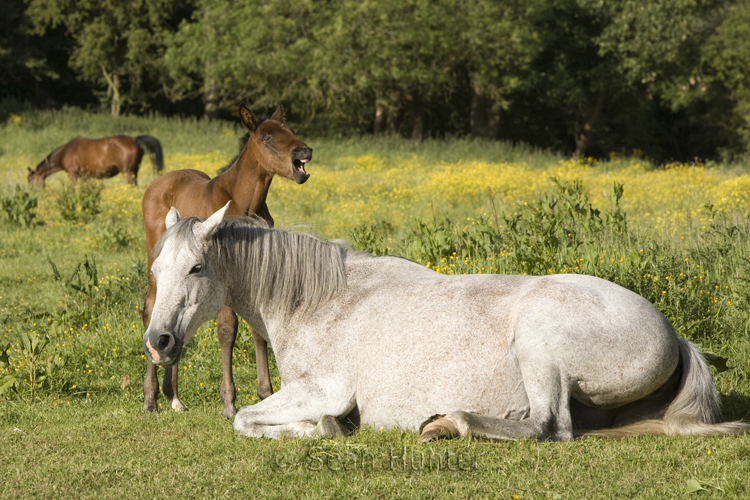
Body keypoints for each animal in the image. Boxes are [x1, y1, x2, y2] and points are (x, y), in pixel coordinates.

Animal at [30, 134, 164, 187]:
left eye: (30, 180)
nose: (33, 193)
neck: (65, 152)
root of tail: (134, 140)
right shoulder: (85, 176)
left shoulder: (72, 173)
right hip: (135, 170)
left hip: (128, 172)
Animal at [140, 104, 312, 418]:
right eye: (267, 137)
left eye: (291, 131)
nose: (305, 151)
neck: (244, 204)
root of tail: (156, 184)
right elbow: (227, 330)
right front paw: (229, 401)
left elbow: (258, 328)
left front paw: (265, 391)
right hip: (156, 262)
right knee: (150, 310)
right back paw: (151, 397)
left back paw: (174, 397)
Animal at [142, 203, 750, 442]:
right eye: (155, 268)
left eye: (196, 267)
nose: (158, 341)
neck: (318, 300)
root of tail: (675, 335)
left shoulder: (323, 389)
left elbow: (245, 419)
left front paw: (326, 429)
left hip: (540, 346)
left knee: (546, 426)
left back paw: (446, 423)